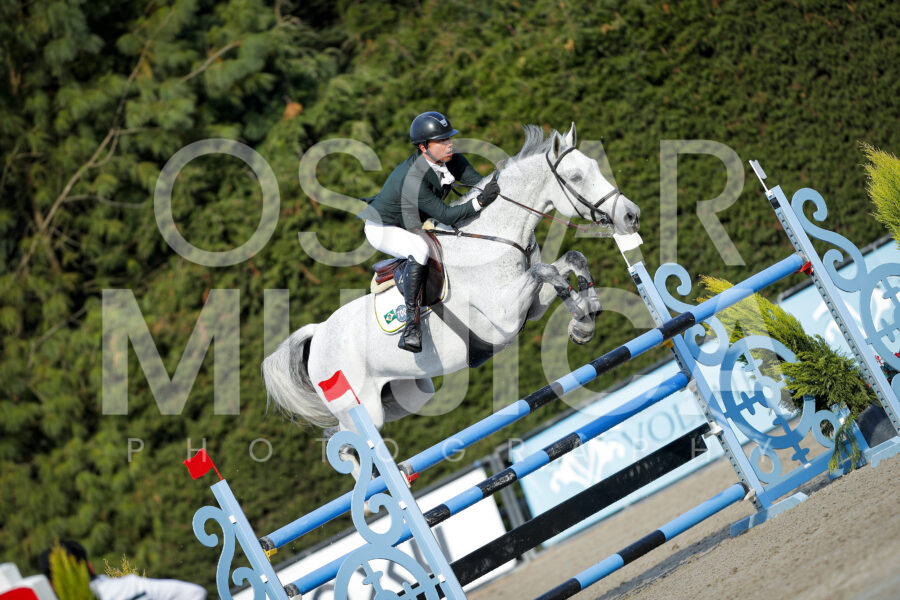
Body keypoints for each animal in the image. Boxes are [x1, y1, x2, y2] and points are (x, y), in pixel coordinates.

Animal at [262, 123, 641, 437]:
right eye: (575, 177)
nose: (630, 216)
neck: (493, 238)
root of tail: (317, 334)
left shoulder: (529, 306)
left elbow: (570, 261)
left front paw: (586, 315)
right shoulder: (502, 316)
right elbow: (544, 271)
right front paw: (581, 318)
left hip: (405, 396)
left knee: (338, 437)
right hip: (363, 409)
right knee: (349, 444)